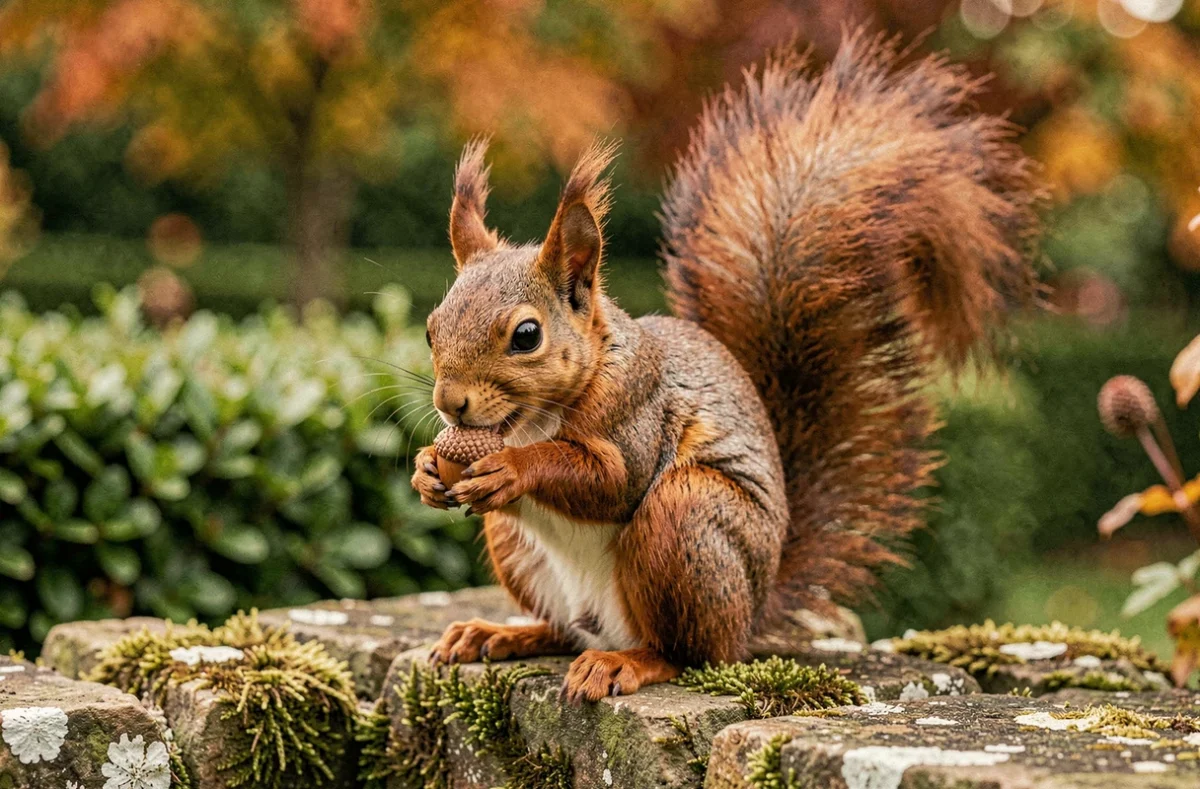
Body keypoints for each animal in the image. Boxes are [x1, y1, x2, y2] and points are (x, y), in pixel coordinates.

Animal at [411, 31, 1043, 703]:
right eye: (430, 326)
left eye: (526, 335)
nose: (449, 403)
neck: (533, 419)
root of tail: (753, 612)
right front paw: (426, 469)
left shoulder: (636, 408)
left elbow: (610, 480)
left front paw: (511, 469)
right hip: (519, 551)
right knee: (564, 630)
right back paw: (497, 633)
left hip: (686, 521)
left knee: (689, 652)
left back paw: (625, 662)